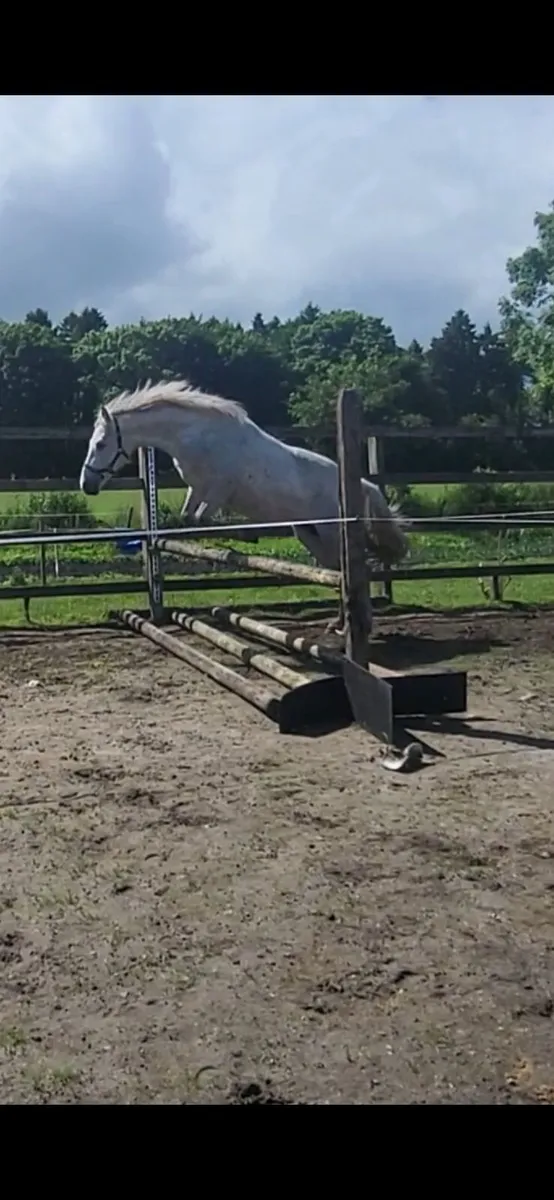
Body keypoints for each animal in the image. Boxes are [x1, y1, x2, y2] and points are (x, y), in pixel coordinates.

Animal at [79, 380, 409, 631]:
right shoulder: (197, 489)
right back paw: (338, 624)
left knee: (352, 567)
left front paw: (245, 536)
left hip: (330, 532)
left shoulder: (218, 491)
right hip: (310, 534)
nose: (87, 485)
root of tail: (362, 485)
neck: (196, 436)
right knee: (337, 571)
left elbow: (202, 521)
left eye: (100, 444)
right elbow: (189, 518)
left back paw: (356, 624)